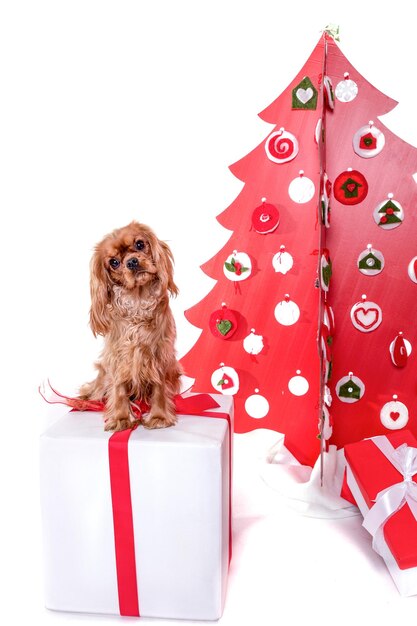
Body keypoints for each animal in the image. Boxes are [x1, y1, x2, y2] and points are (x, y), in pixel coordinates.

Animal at [79, 219, 180, 428]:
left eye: (140, 244)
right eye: (114, 262)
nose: (132, 262)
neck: (137, 302)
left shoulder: (159, 355)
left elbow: (159, 387)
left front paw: (159, 416)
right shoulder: (118, 357)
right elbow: (118, 388)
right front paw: (121, 417)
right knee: (96, 388)